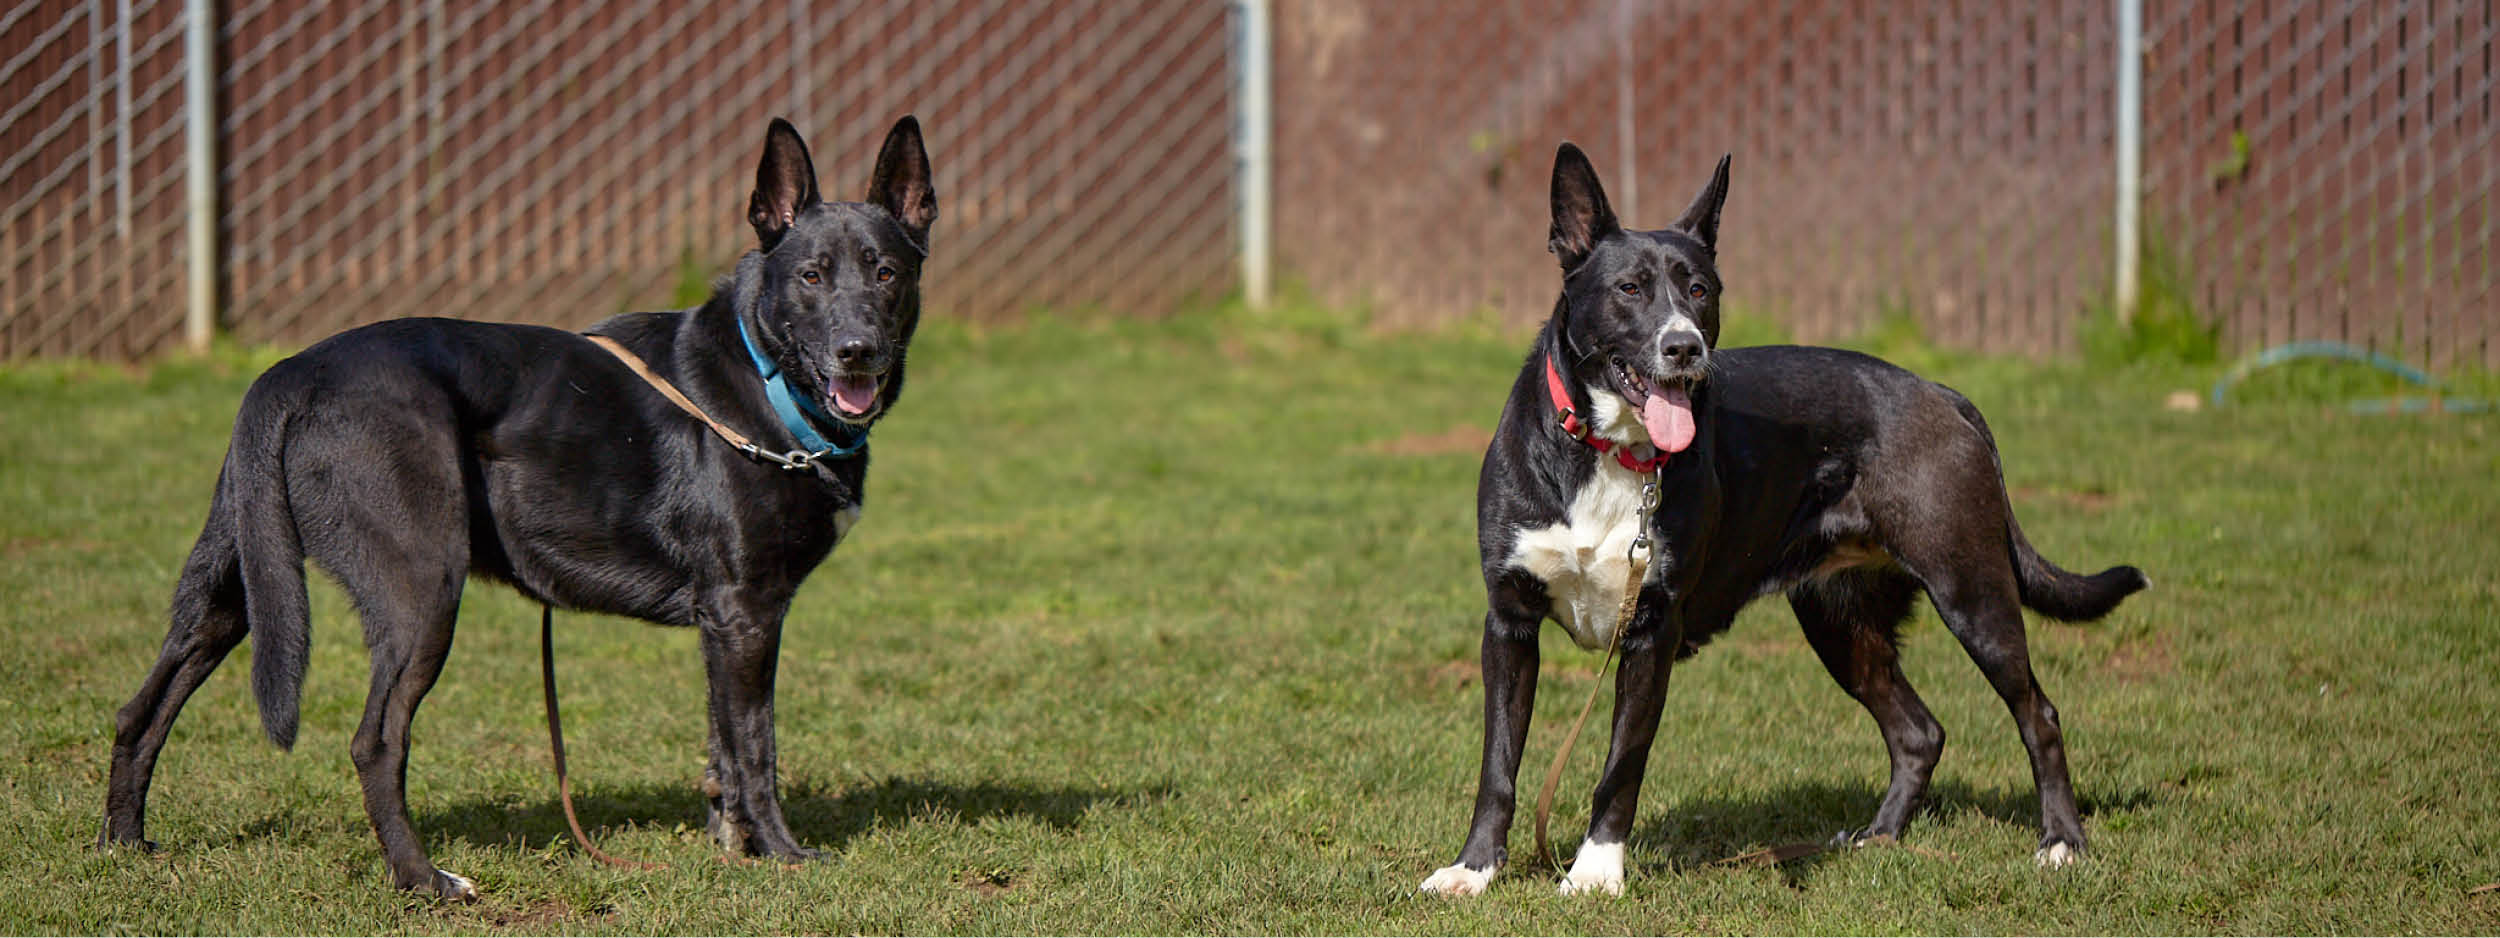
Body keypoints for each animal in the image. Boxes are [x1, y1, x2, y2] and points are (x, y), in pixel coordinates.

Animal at [97, 117, 940, 905]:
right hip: (421, 595)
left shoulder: (725, 623)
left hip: (235, 586)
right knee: (375, 742)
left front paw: (732, 846)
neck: (765, 383)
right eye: (810, 277)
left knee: (141, 709)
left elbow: (722, 746)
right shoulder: (745, 612)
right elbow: (756, 746)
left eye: (886, 273)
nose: (858, 352)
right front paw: (783, 854)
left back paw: (123, 844)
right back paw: (424, 879)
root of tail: (291, 373)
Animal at [1430, 145, 2150, 895]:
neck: (1609, 448)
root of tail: (1944, 394)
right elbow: (1498, 764)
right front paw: (1473, 869)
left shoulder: (1652, 631)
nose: (1685, 348)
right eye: (1629, 289)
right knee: (1918, 732)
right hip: (1840, 620)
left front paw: (1595, 874)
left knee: (2037, 712)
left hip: (1972, 591)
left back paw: (2061, 842)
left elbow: (1621, 765)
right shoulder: (1510, 623)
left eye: (1700, 291)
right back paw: (1877, 838)